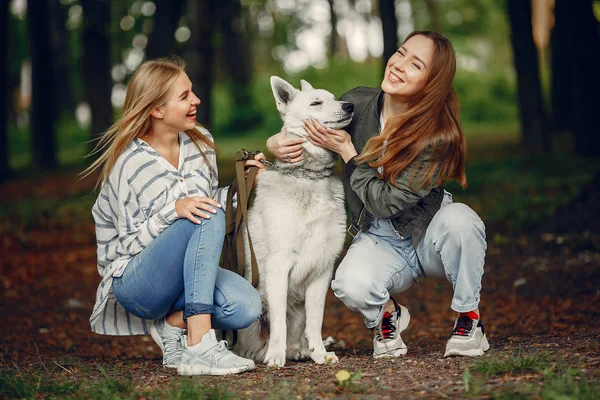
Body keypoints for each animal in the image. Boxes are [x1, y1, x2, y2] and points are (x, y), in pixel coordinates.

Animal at [230, 76, 352, 368]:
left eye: (335, 98)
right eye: (316, 102)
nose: (349, 106)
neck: (307, 176)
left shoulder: (322, 269)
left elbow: (316, 322)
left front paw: (320, 353)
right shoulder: (278, 265)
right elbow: (278, 324)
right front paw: (275, 356)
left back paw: (299, 350)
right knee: (252, 346)